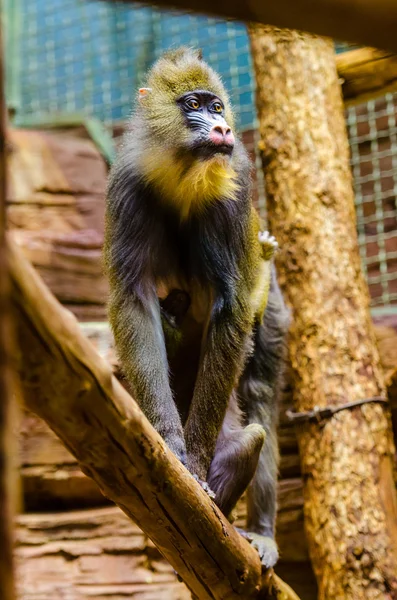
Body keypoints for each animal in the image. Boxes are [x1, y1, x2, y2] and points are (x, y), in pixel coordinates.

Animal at [103, 48, 288, 568]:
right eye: (193, 105)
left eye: (218, 107)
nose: (222, 128)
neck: (183, 176)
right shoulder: (127, 188)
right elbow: (135, 300)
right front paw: (171, 446)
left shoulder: (233, 194)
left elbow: (231, 307)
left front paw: (199, 468)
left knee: (258, 402)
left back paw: (258, 531)